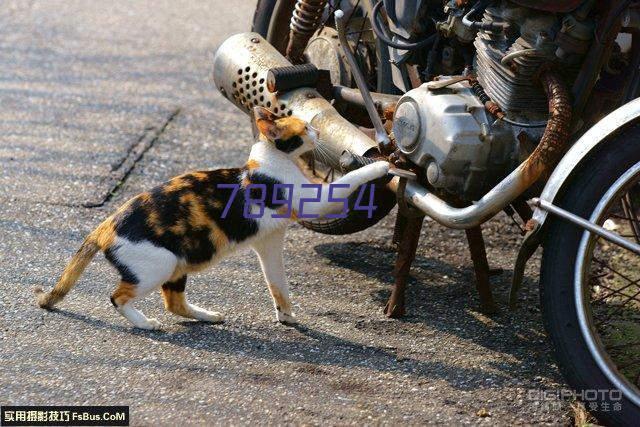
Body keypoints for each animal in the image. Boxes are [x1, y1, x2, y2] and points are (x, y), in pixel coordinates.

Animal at [37, 105, 392, 330]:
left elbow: (277, 284)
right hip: (159, 264)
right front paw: (381, 165)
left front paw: (286, 315)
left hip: (177, 264)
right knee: (117, 297)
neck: (269, 160)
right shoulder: (315, 202)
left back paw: (207, 316)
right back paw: (146, 324)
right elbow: (349, 180)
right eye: (304, 128)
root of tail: (105, 225)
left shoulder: (269, 243)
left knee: (174, 303)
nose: (318, 131)